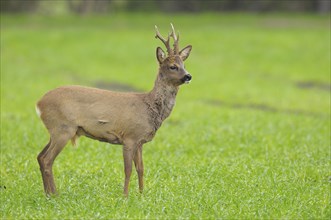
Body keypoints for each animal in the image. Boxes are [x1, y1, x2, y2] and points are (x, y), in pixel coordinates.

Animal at [36, 24, 192, 196]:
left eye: (184, 65)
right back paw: (54, 194)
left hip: (56, 130)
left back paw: (48, 194)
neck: (149, 107)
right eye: (173, 66)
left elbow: (141, 169)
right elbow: (128, 169)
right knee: (47, 159)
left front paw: (142, 194)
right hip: (63, 128)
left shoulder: (140, 141)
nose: (188, 76)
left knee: (40, 156)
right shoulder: (129, 136)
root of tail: (39, 103)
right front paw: (125, 195)